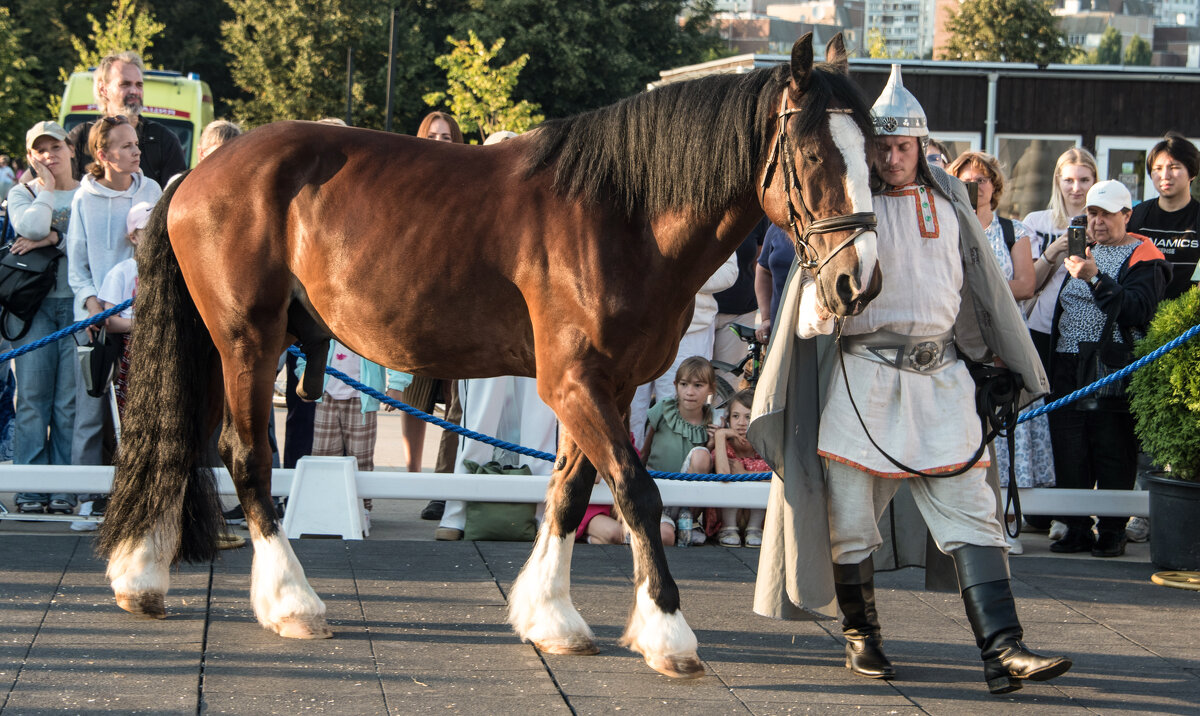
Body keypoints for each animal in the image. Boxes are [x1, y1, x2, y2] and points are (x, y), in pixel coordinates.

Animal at [98, 33, 883, 676]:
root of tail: (197, 176)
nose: (859, 282)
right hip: (248, 340)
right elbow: (635, 489)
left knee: (183, 437)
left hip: (220, 344)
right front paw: (667, 631)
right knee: (246, 455)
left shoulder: (607, 385)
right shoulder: (574, 383)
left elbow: (570, 490)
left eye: (875, 155)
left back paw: (141, 576)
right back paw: (292, 601)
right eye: (814, 155)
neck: (622, 216)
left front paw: (551, 615)